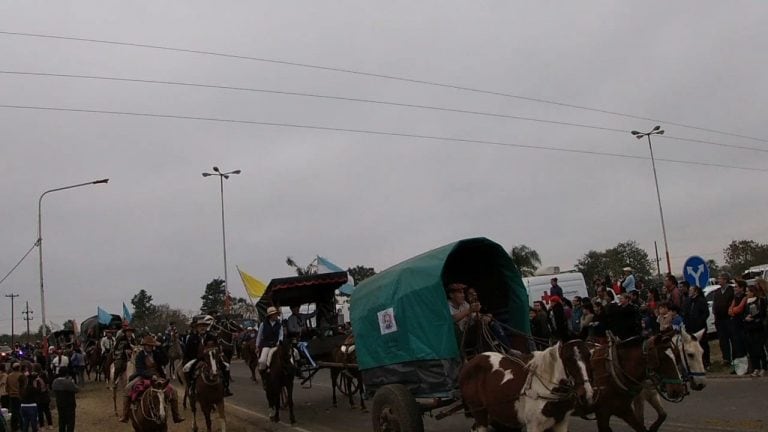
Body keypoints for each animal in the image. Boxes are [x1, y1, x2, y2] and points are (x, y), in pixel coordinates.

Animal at [460, 340, 596, 432]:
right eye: (567, 358)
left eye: (589, 355)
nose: (586, 393)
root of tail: (469, 363)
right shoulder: (533, 426)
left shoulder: (561, 422)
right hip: (479, 412)